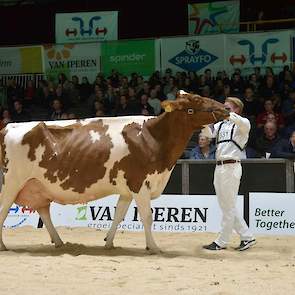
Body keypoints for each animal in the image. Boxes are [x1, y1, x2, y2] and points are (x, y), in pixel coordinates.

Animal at [0, 91, 229, 254]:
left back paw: (59, 242)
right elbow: (147, 216)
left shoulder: (127, 189)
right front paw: (154, 247)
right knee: (3, 209)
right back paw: (4, 246)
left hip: (35, 185)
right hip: (11, 182)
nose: (226, 108)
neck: (153, 138)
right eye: (197, 99)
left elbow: (119, 215)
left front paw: (108, 242)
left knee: (43, 210)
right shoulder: (139, 183)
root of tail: (8, 127)